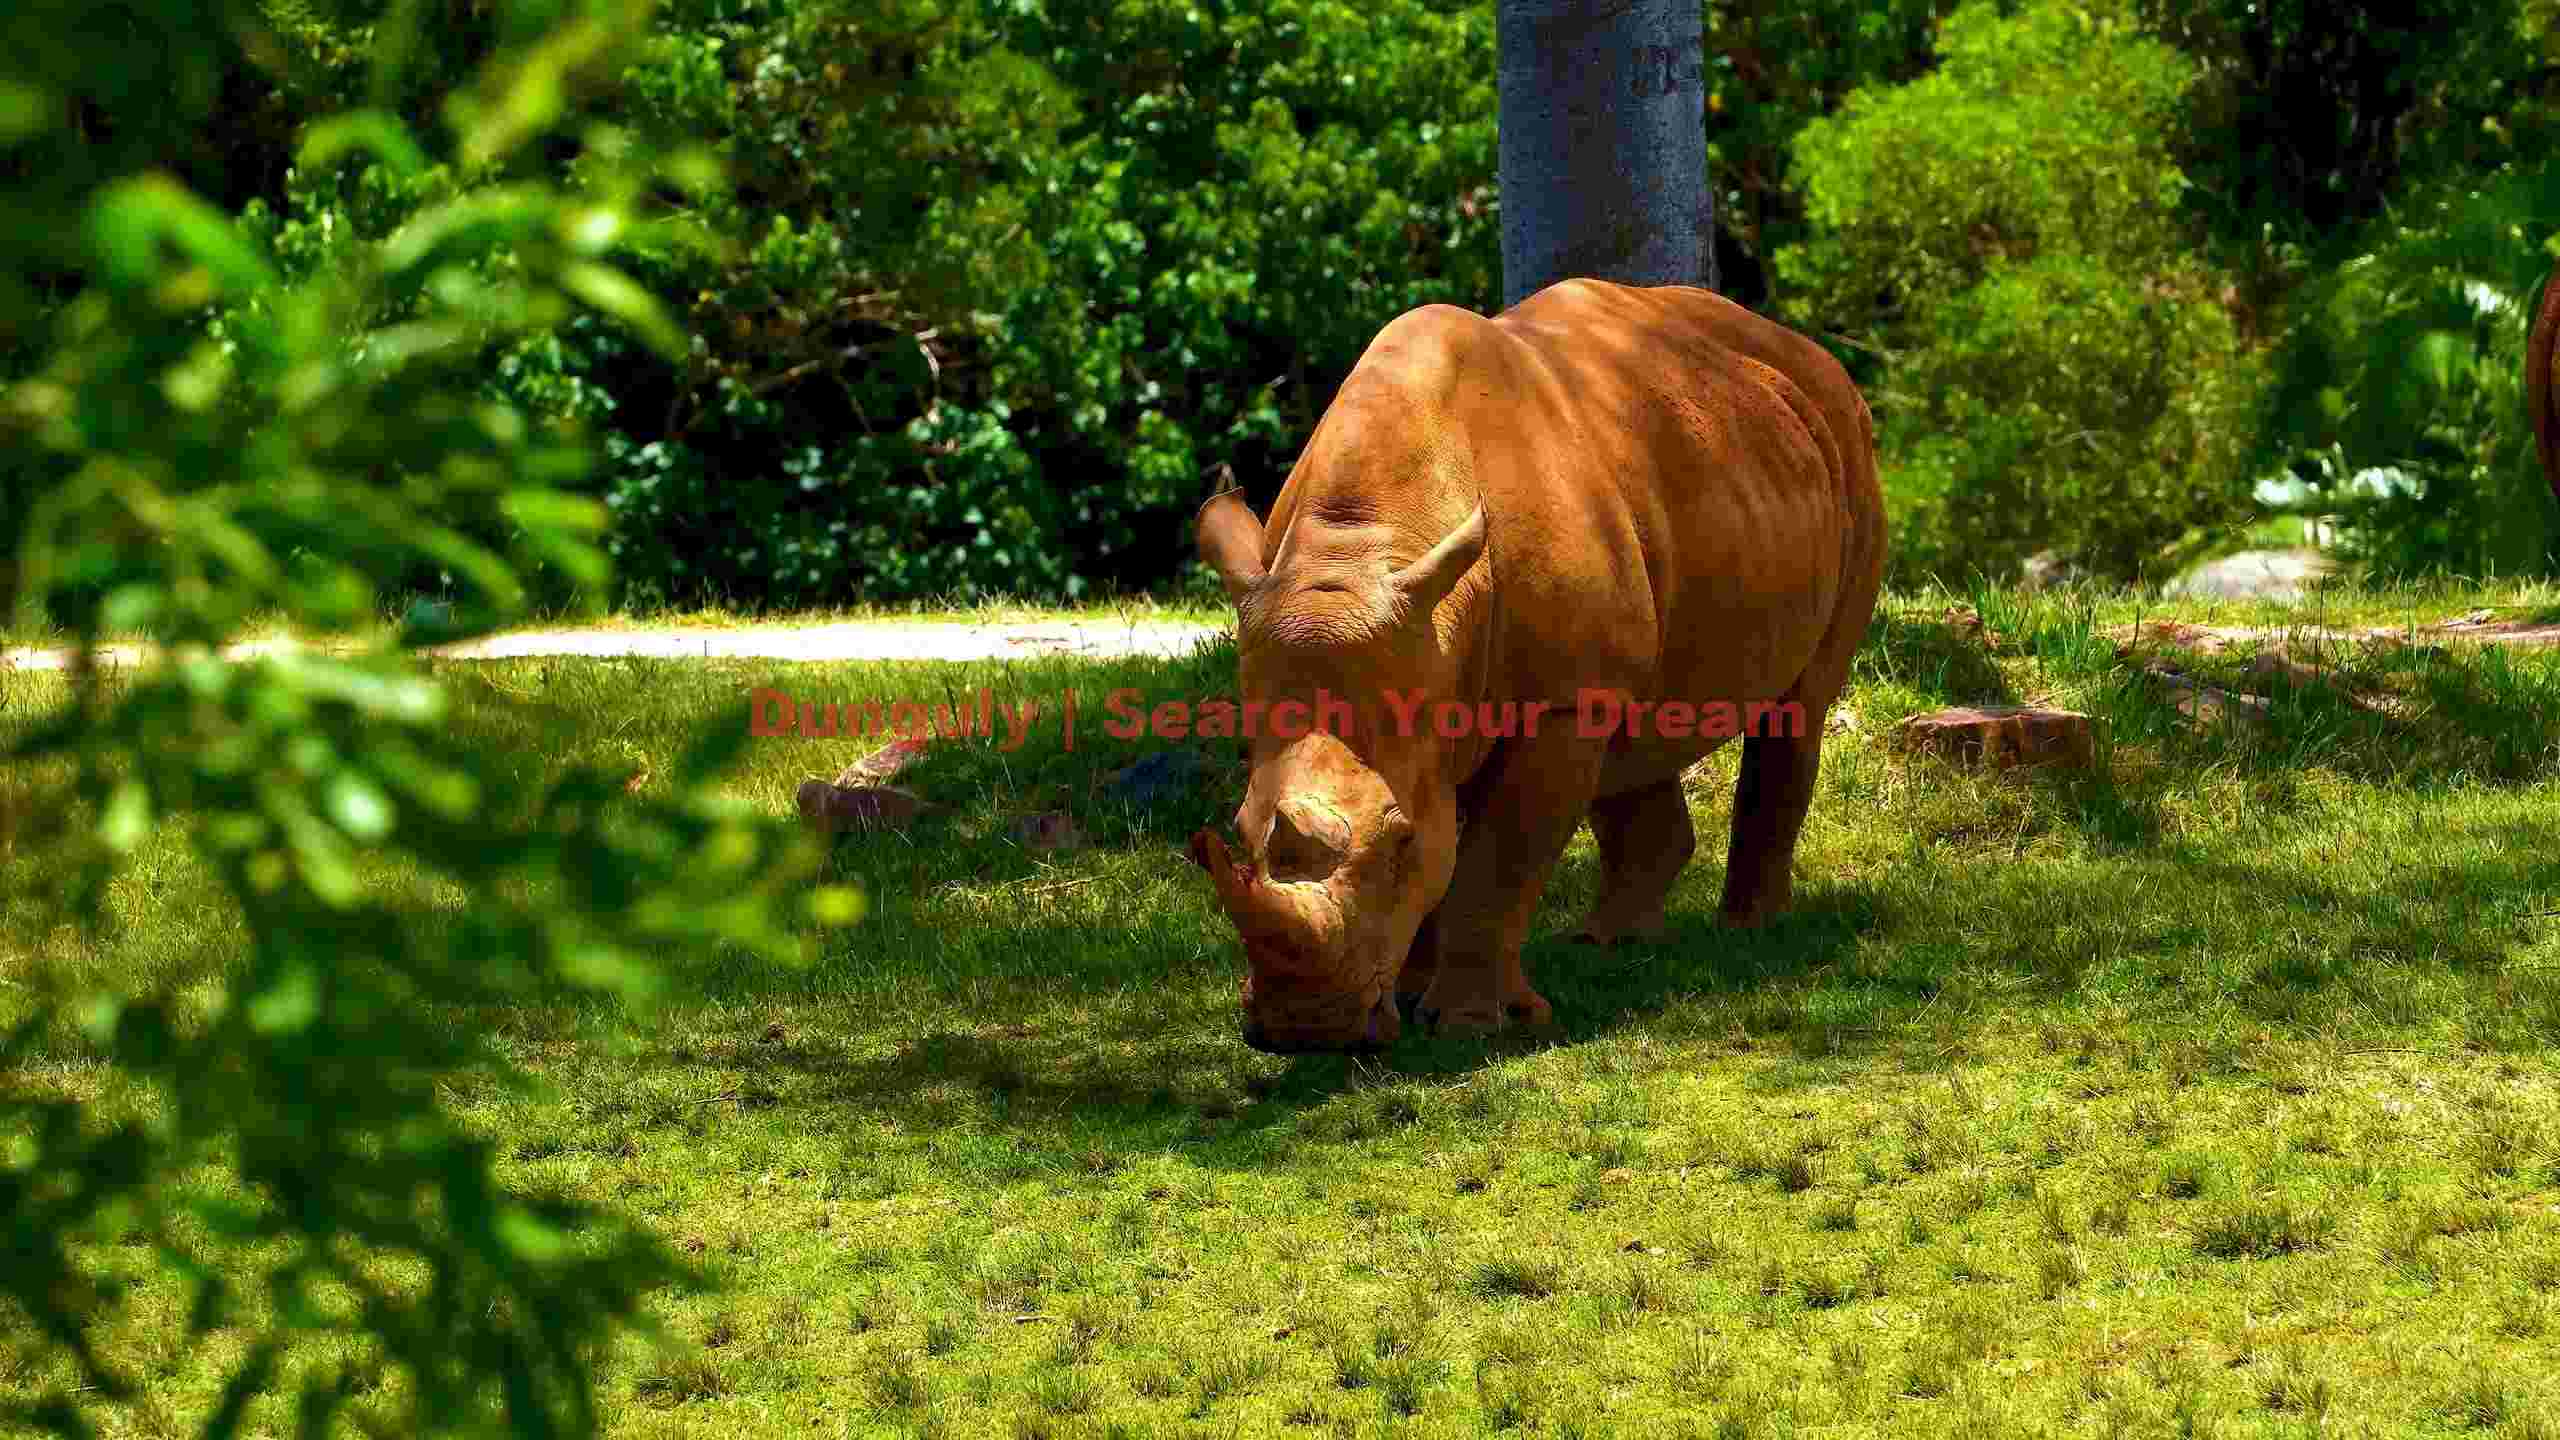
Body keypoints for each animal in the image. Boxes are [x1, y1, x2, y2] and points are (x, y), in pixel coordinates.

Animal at [1186, 279, 1887, 1055]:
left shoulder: (1557, 703)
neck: (1363, 542)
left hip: (1849, 443)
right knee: (1636, 727)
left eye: (1399, 842)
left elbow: (1498, 857)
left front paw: (1469, 1023)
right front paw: (1411, 992)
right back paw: (1608, 944)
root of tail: (1802, 349)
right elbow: (1453, 844)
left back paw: (1748, 933)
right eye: (1238, 834)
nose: (1301, 1029)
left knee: (1799, 705)